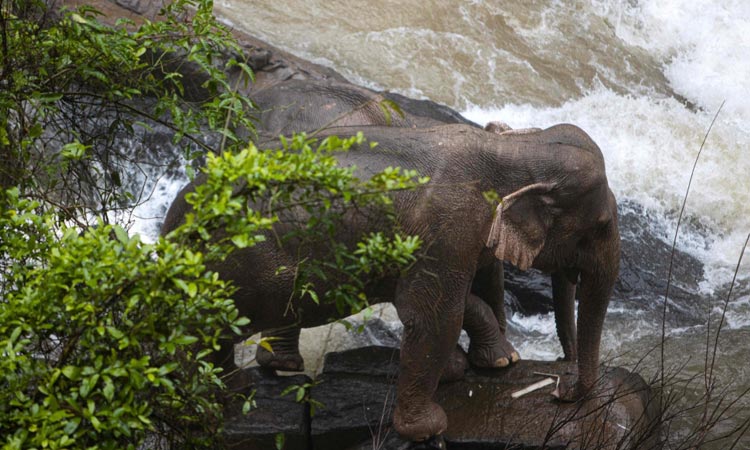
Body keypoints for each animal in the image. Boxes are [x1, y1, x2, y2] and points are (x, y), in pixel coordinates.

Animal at [164, 121, 624, 442]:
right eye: (601, 224)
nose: (559, 391)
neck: (515, 149)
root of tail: (174, 220)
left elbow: (460, 296)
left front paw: (484, 364)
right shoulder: (448, 228)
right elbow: (433, 315)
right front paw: (430, 427)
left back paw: (259, 377)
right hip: (239, 266)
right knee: (213, 326)